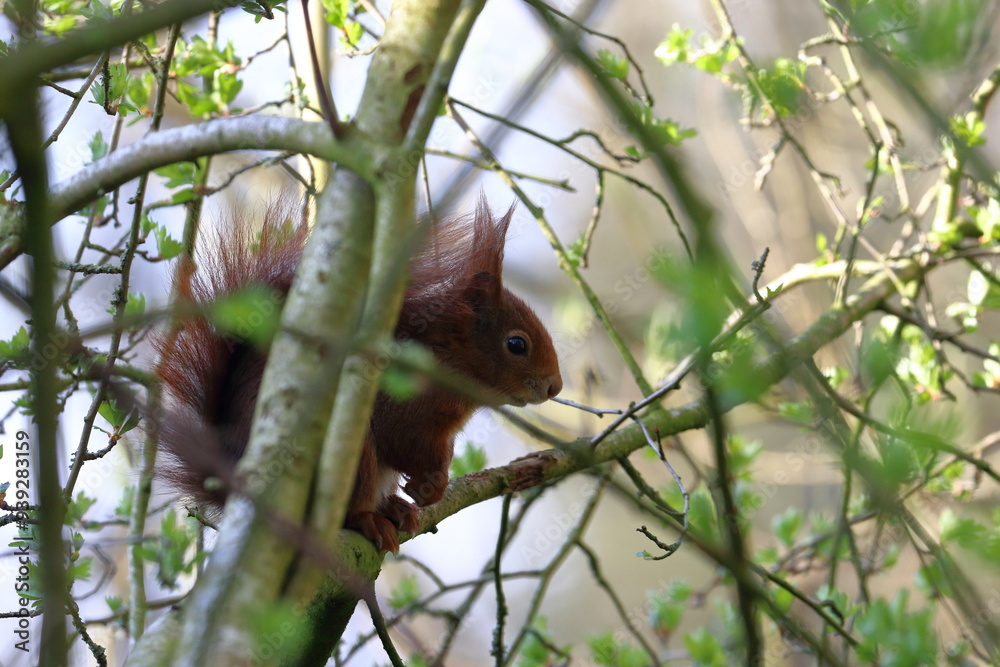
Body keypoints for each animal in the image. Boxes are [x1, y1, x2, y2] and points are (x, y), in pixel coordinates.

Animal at [153, 197, 562, 553]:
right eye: (516, 344)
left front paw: (432, 485)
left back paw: (394, 508)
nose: (555, 387)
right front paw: (431, 486)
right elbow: (404, 441)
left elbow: (439, 450)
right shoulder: (403, 407)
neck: (445, 356)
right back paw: (370, 519)